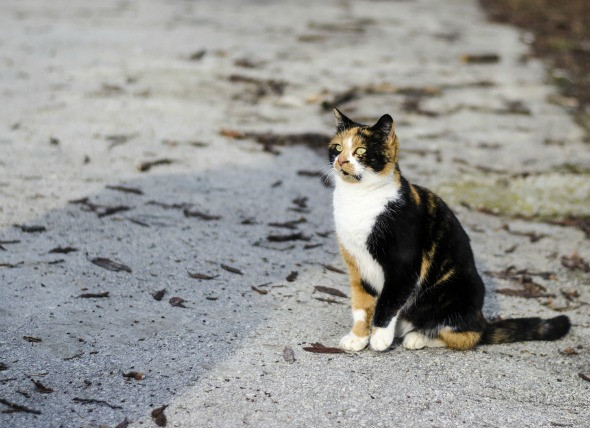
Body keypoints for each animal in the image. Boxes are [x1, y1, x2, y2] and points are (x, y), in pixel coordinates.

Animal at [330, 109, 572, 352]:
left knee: (468, 335)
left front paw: (379, 337)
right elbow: (361, 305)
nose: (341, 160)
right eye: (338, 147)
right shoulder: (356, 264)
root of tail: (481, 318)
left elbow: (388, 302)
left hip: (453, 293)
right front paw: (358, 337)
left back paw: (417, 337)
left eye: (361, 151)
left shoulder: (404, 266)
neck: (358, 198)